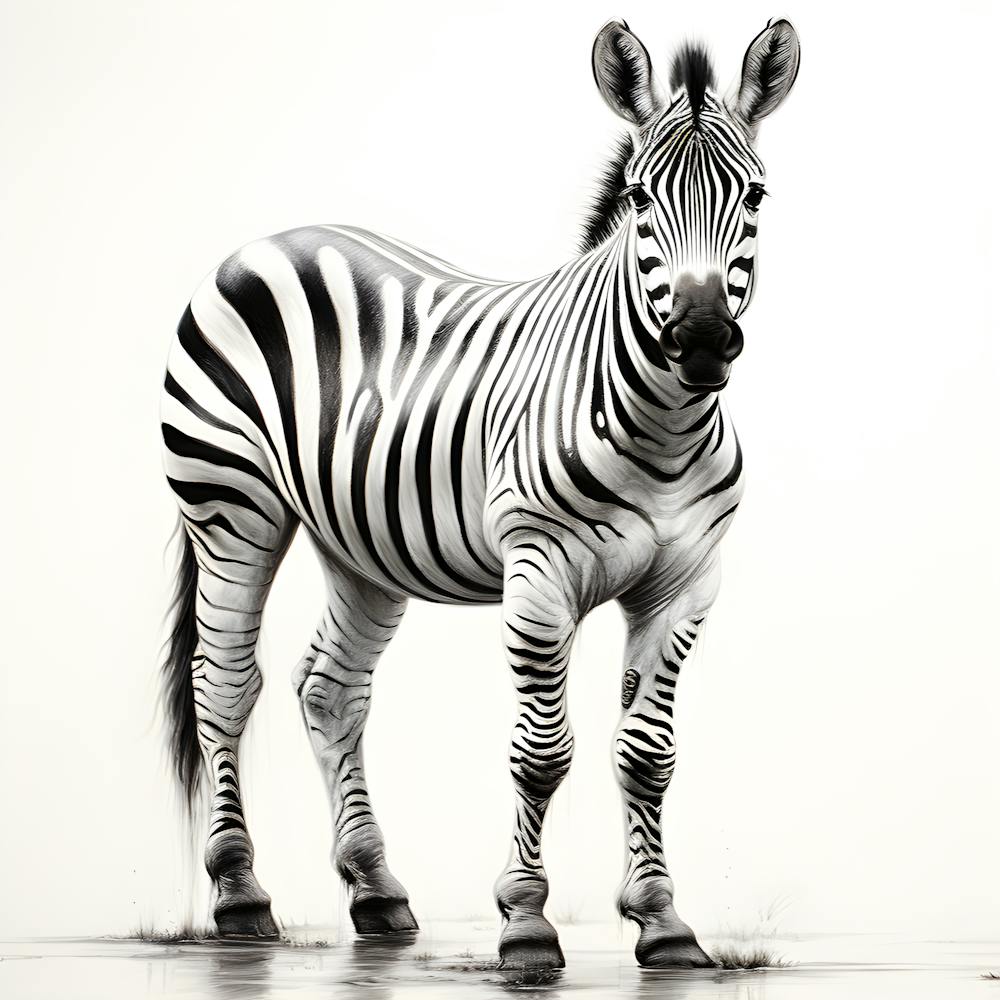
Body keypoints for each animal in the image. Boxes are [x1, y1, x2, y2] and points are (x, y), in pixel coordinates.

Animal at [160, 17, 800, 970]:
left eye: (754, 197)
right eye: (642, 198)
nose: (701, 339)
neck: (665, 430)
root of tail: (271, 240)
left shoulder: (686, 584)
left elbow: (648, 756)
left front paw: (663, 923)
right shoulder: (538, 574)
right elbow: (543, 752)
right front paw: (526, 922)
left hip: (358, 540)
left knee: (329, 689)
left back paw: (377, 893)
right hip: (231, 506)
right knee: (224, 684)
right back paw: (240, 896)